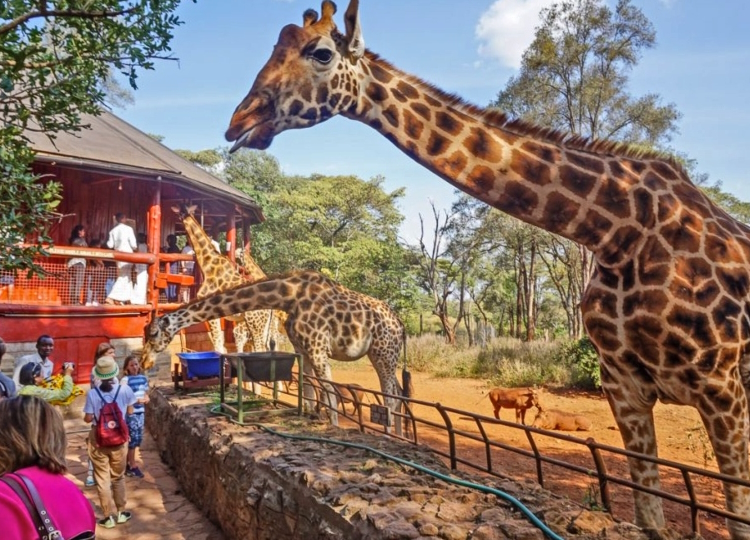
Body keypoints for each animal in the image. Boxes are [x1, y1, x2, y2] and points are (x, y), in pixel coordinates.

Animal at [142, 270, 407, 431]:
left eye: (153, 333)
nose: (144, 363)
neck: (289, 298)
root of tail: (400, 324)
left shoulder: (318, 347)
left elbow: (329, 391)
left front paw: (333, 425)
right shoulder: (304, 348)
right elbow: (308, 388)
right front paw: (310, 417)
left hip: (384, 351)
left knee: (391, 395)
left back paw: (388, 432)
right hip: (380, 354)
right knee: (399, 392)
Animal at [223, 2, 750, 537]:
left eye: (321, 53)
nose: (238, 120)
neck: (617, 229)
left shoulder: (721, 388)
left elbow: (737, 512)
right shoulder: (625, 387)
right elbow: (650, 517)